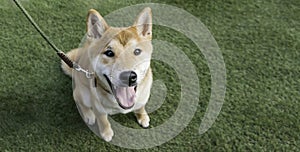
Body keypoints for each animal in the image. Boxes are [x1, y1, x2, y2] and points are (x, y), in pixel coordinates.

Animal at [61, 8, 152, 141]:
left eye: (137, 51)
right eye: (109, 53)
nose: (128, 76)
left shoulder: (143, 97)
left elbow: (141, 106)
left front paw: (143, 116)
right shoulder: (98, 107)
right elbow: (103, 120)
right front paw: (106, 133)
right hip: (83, 94)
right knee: (77, 99)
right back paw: (88, 115)